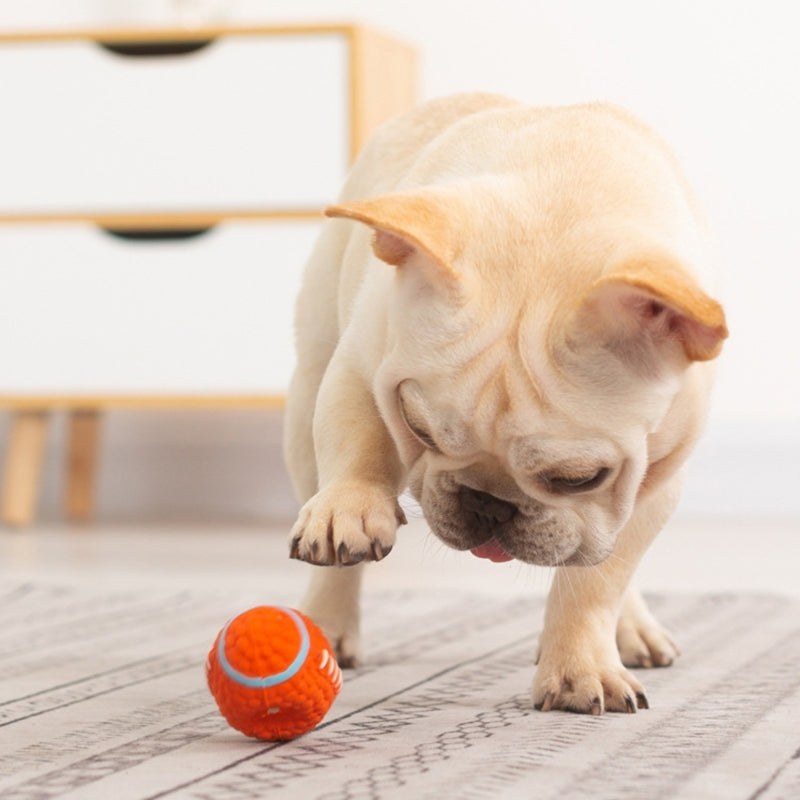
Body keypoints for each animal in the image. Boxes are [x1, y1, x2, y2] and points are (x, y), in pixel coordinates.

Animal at [284, 92, 728, 712]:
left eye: (580, 478)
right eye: (416, 427)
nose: (488, 503)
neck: (562, 199)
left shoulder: (653, 482)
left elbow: (597, 579)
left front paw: (581, 667)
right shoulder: (362, 361)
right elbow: (358, 441)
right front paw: (350, 505)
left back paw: (632, 628)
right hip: (308, 388)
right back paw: (326, 624)